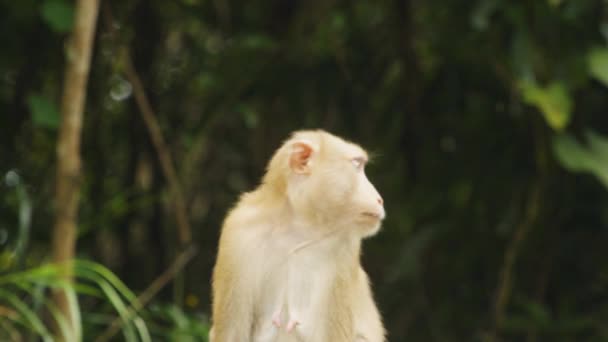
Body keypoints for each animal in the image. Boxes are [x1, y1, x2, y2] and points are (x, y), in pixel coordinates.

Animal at [211, 130, 388, 340]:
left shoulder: (346, 247)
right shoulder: (237, 233)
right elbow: (232, 334)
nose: (379, 199)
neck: (297, 227)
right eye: (357, 165)